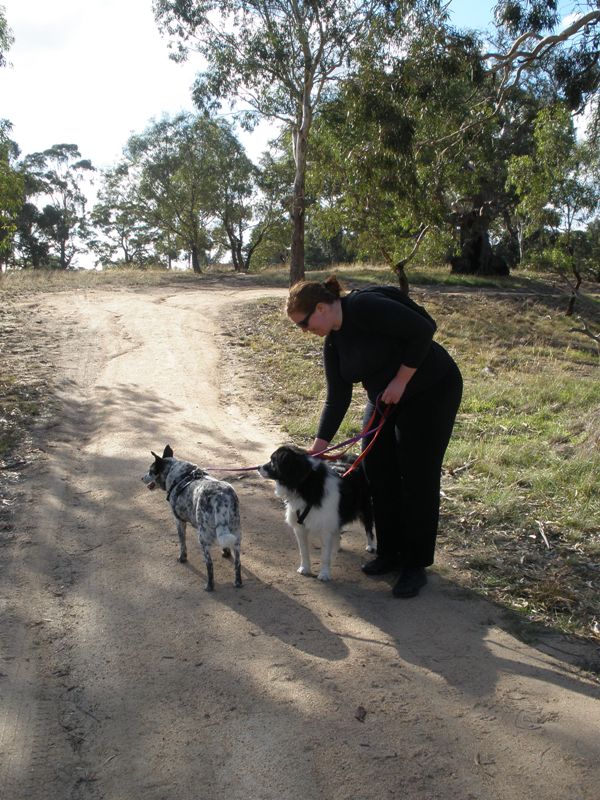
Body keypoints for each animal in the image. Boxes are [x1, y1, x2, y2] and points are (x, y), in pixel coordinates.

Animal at [142, 444, 243, 592]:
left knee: (209, 564)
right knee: (238, 562)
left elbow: (182, 543)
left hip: (202, 538)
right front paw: (225, 552)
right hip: (236, 534)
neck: (178, 475)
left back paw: (209, 586)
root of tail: (220, 498)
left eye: (150, 471)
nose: (141, 478)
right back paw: (238, 582)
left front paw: (182, 558)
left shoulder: (179, 521)